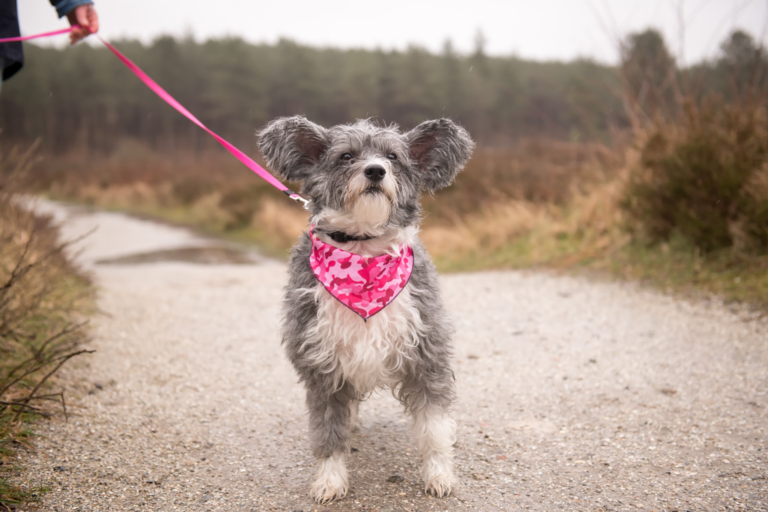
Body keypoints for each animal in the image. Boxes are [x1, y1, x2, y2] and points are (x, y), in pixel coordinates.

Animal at [258, 115, 474, 500]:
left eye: (393, 156)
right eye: (346, 156)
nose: (375, 171)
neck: (363, 254)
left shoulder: (426, 356)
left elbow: (434, 428)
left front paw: (439, 474)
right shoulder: (322, 365)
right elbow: (328, 431)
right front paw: (330, 479)